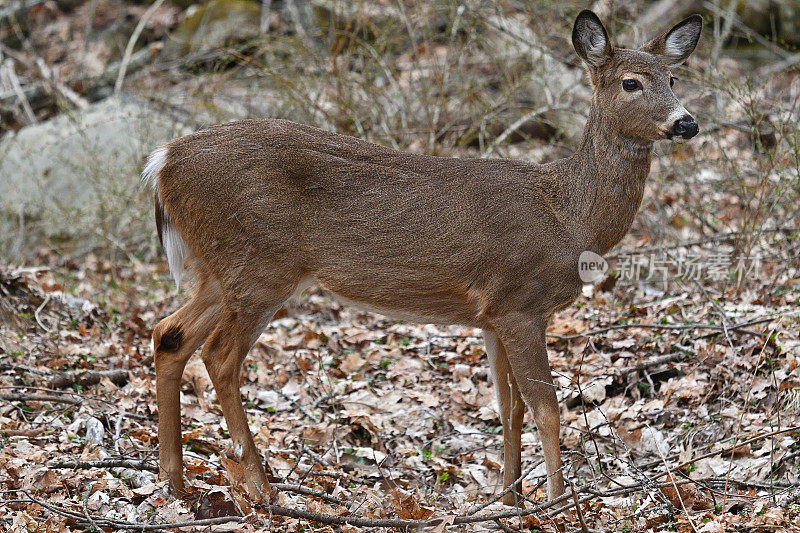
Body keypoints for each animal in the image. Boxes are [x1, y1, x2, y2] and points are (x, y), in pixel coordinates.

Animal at [142, 10, 700, 504]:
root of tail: (163, 159)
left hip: (222, 270)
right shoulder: (520, 302)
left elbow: (508, 409)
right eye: (631, 83)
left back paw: (177, 483)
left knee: (169, 334)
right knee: (219, 356)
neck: (568, 217)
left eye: (673, 77)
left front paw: (511, 496)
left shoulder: (493, 315)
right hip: (260, 265)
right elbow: (545, 407)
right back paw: (259, 487)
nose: (687, 122)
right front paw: (557, 501)